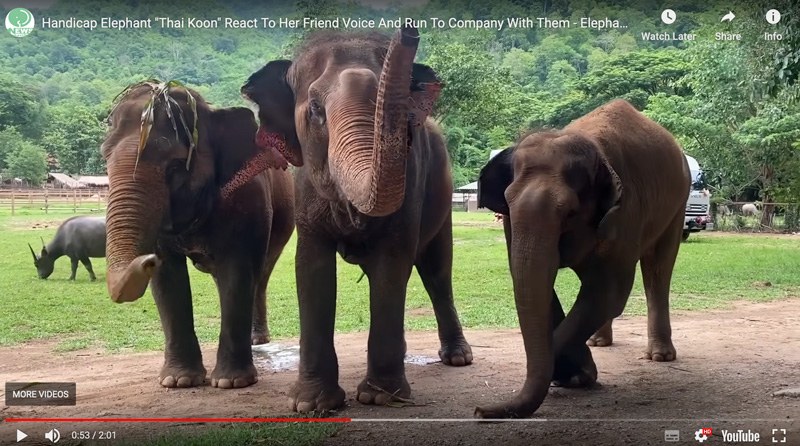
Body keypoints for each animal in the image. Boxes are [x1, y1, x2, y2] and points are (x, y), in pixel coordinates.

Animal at [101, 82, 296, 388]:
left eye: (176, 166)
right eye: (104, 159)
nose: (146, 259)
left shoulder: (248, 197)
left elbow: (238, 271)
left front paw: (231, 382)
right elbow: (169, 280)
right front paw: (178, 381)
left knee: (260, 274)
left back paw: (257, 340)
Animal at [241, 26, 472, 412]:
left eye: (401, 111)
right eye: (315, 109)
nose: (409, 31)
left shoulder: (412, 175)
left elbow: (393, 265)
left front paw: (380, 397)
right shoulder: (303, 189)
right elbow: (312, 268)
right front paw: (311, 404)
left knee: (438, 271)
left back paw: (458, 358)